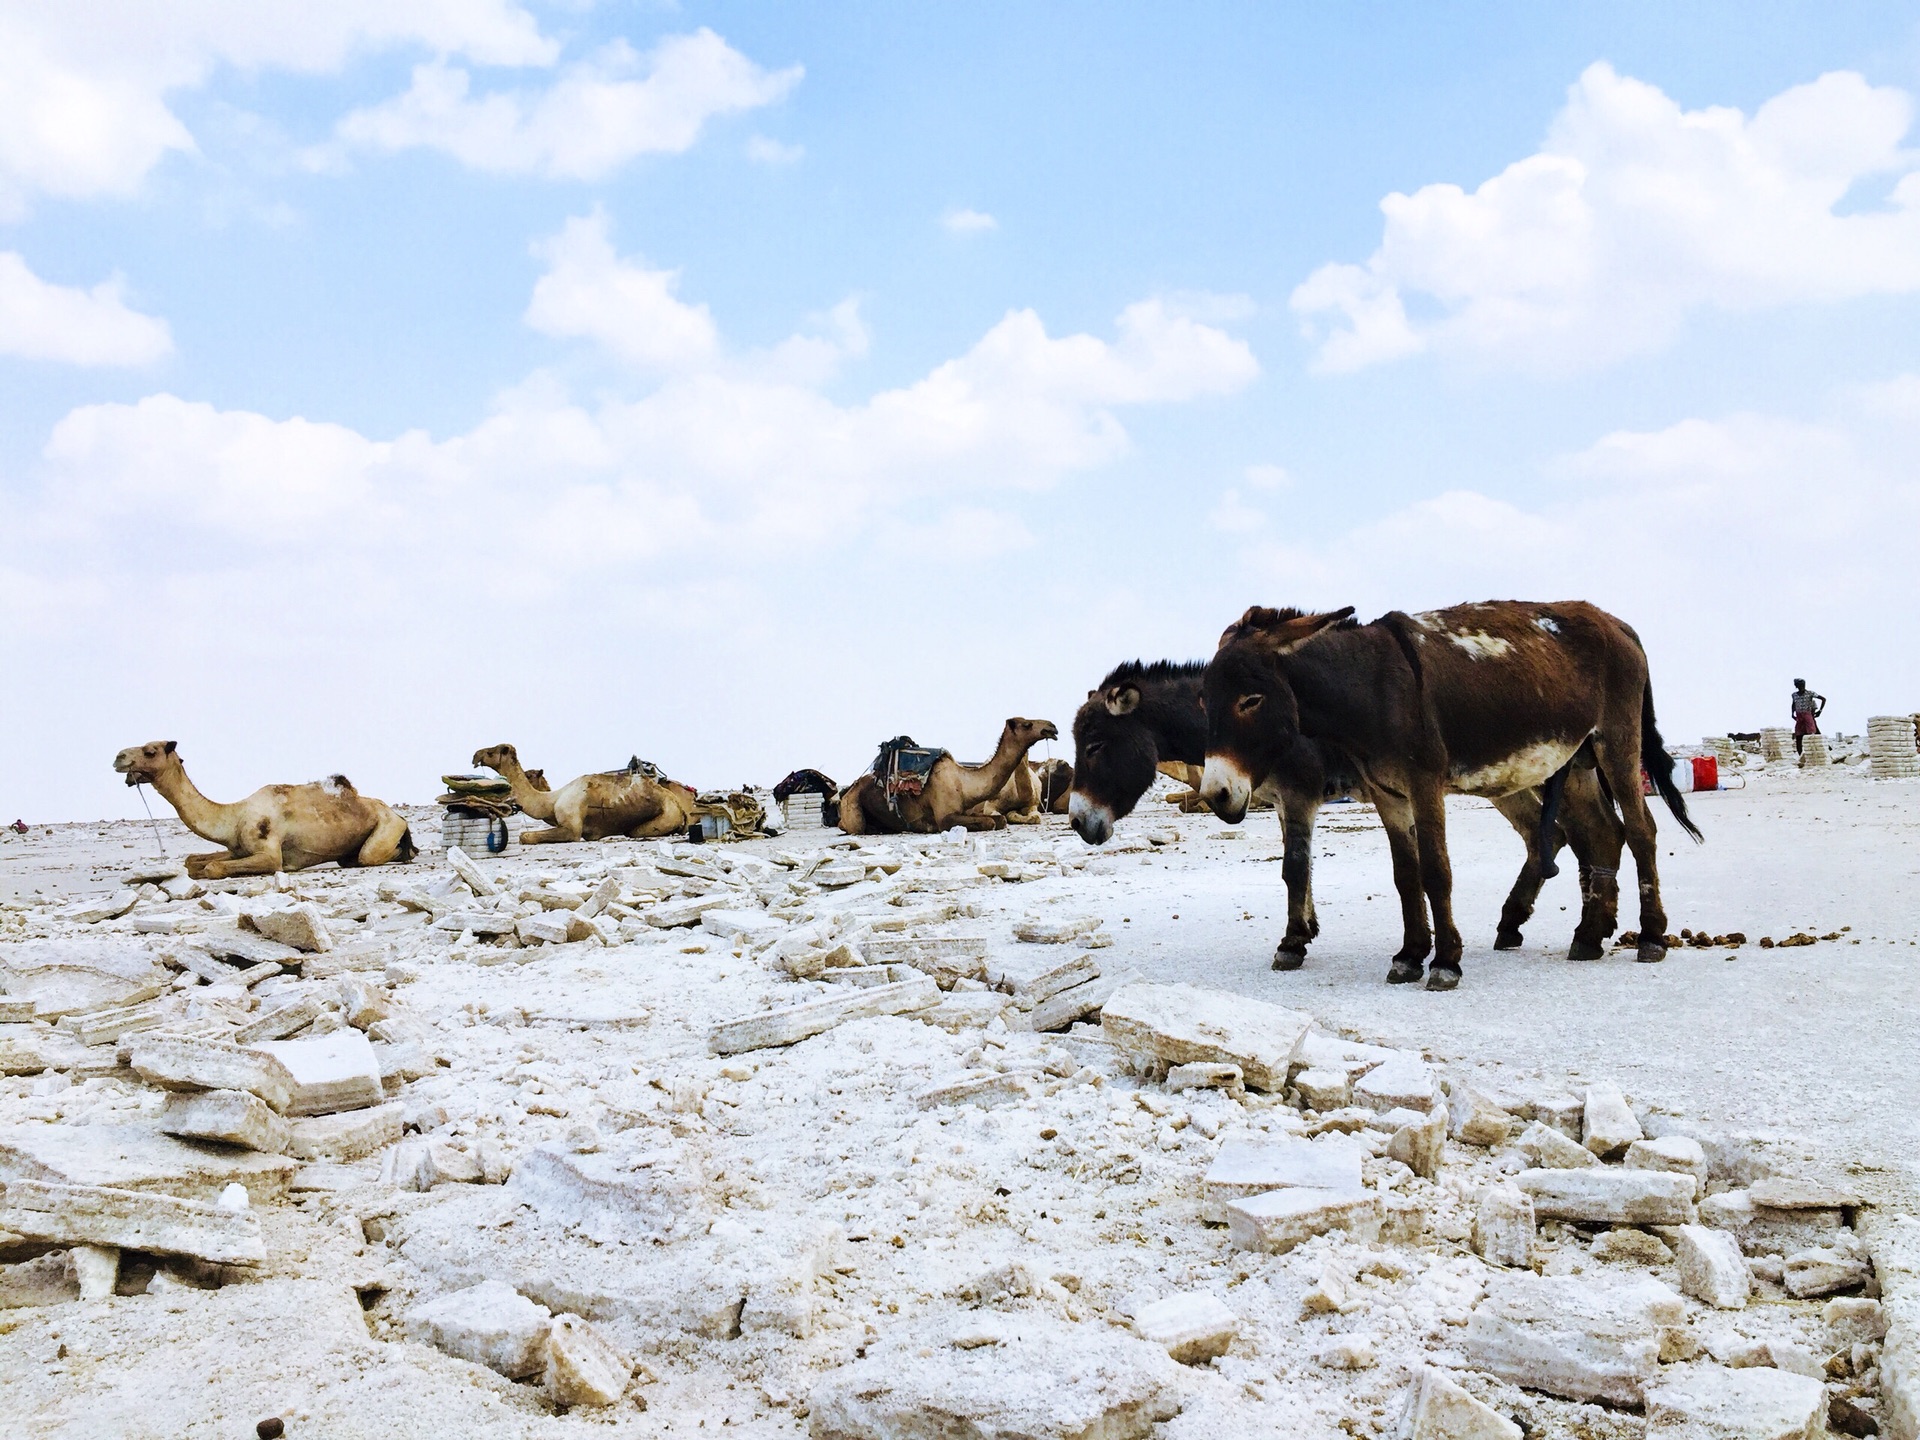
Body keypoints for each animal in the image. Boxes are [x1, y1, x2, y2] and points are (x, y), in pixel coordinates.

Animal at [113, 744, 416, 879]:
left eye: (150, 751)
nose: (118, 756)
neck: (234, 816)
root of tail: (397, 815)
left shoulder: (270, 854)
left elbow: (213, 867)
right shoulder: (238, 849)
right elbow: (192, 861)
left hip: (387, 827)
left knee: (370, 856)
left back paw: (407, 853)